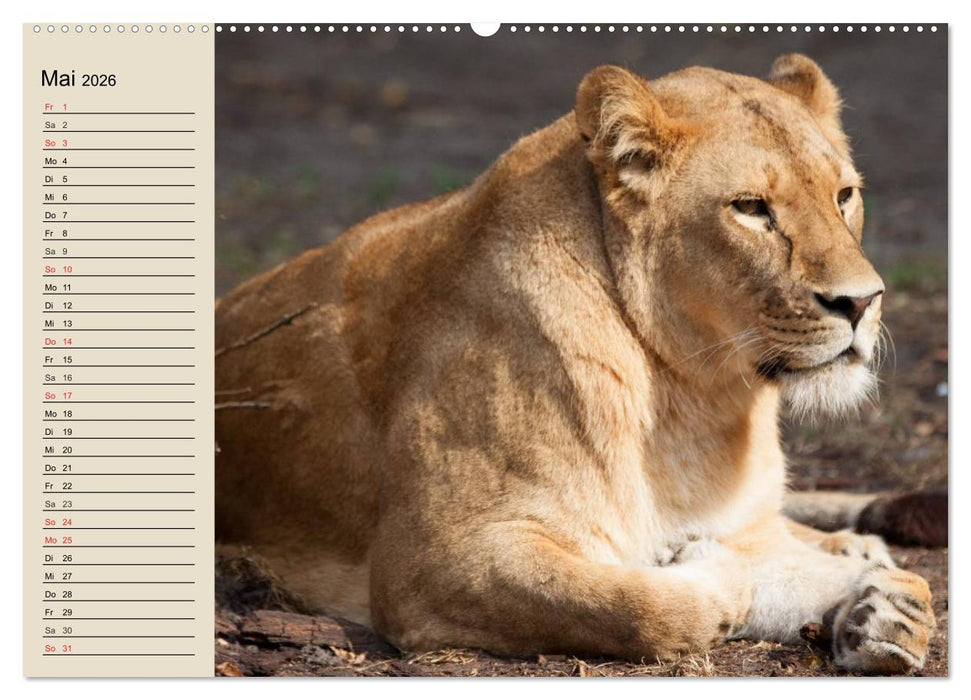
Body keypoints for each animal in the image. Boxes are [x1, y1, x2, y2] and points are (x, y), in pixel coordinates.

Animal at [214, 55, 942, 674]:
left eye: (843, 195)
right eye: (750, 208)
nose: (862, 302)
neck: (696, 398)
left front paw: (877, 602)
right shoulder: (429, 561)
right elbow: (655, 605)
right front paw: (715, 564)